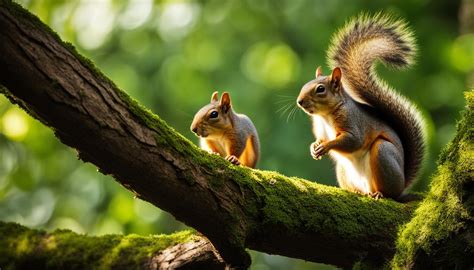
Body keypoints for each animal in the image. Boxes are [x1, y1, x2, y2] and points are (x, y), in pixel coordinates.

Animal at [296, 14, 426, 200]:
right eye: (305, 85)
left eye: (320, 89)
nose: (299, 101)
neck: (325, 115)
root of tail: (402, 186)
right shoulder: (320, 128)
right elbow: (320, 139)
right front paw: (314, 147)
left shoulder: (353, 123)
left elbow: (352, 141)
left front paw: (326, 146)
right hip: (343, 169)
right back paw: (355, 191)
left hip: (383, 153)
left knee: (388, 191)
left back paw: (380, 193)